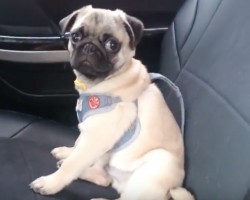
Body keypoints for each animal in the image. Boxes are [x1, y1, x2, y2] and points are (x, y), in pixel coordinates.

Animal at [30, 5, 194, 200]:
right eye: (75, 37)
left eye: (112, 45)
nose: (89, 47)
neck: (99, 83)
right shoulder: (90, 131)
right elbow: (77, 145)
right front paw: (68, 152)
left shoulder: (97, 137)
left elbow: (73, 164)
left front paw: (50, 183)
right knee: (104, 178)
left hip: (155, 167)